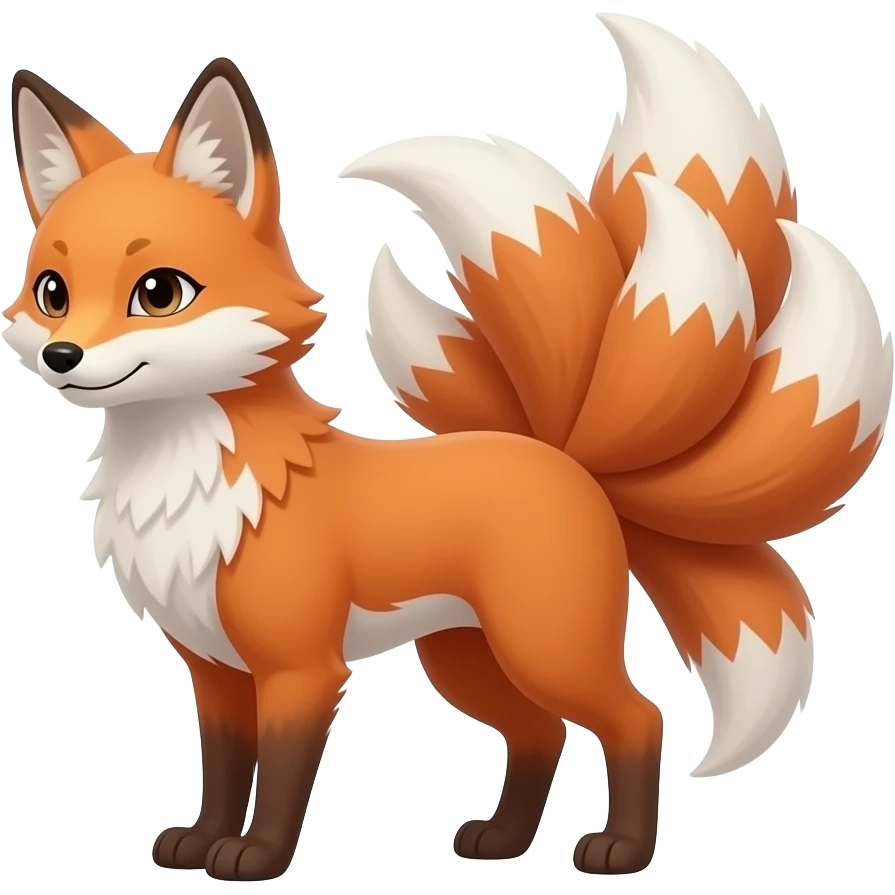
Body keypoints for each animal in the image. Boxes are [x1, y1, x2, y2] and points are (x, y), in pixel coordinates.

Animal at [4, 15, 893, 883]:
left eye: (158, 293)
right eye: (52, 293)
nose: (63, 357)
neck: (185, 481)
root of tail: (568, 460)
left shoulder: (301, 668)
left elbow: (280, 776)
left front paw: (254, 857)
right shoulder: (214, 670)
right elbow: (223, 767)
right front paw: (200, 840)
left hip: (544, 648)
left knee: (636, 718)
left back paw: (620, 851)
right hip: (467, 660)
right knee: (539, 734)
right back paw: (502, 840)